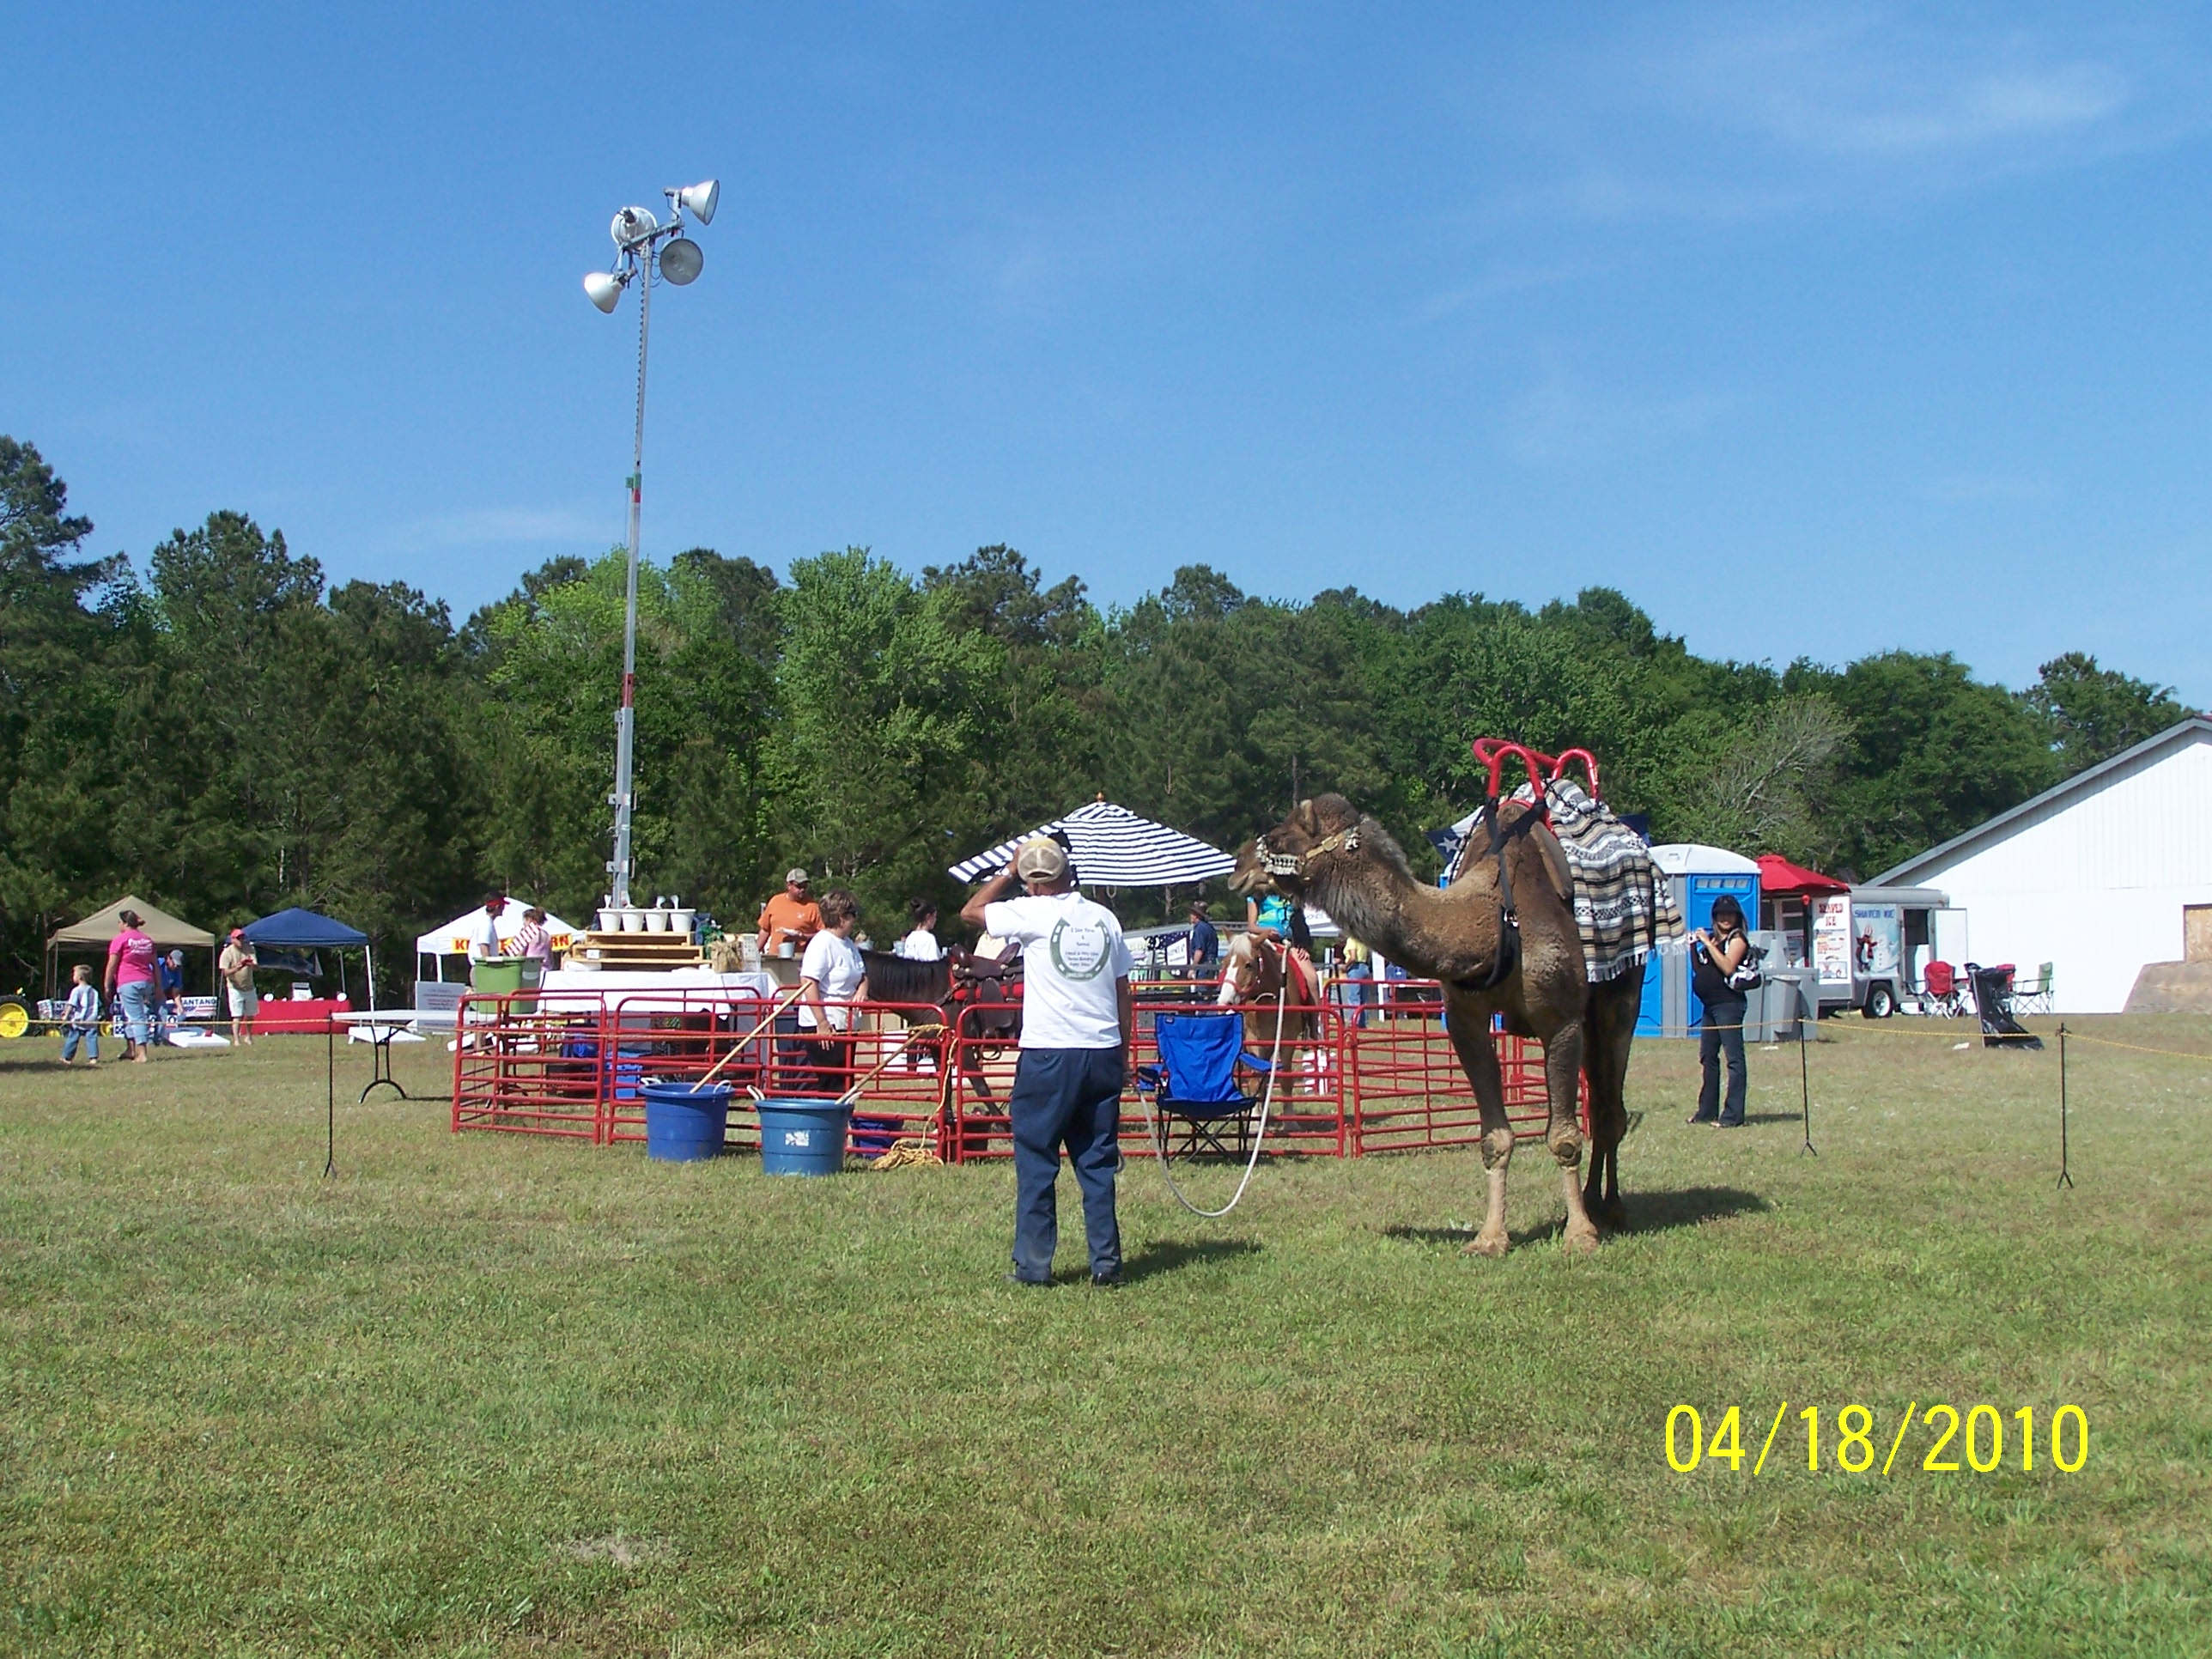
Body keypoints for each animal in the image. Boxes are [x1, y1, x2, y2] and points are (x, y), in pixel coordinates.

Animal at [1230, 796, 1645, 1256]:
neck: (1495, 921)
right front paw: (1490, 1238)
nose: (1239, 867)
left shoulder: (1561, 1021)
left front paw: (1579, 1235)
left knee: (1610, 1106)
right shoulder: (1467, 1023)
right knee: (1602, 1101)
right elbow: (1494, 1139)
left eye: (1279, 837)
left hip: (1619, 998)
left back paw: (1610, 1208)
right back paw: (1594, 1200)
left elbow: (1565, 1138)